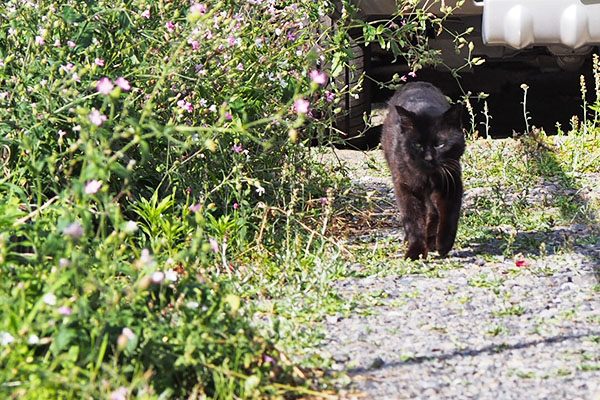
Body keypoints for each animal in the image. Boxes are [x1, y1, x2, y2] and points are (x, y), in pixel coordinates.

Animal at [382, 83, 466, 260]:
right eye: (418, 145)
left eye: (440, 145)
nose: (428, 158)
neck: (428, 177)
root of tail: (417, 83)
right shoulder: (405, 188)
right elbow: (413, 221)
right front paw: (415, 251)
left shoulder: (451, 183)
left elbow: (449, 215)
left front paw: (443, 245)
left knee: (433, 213)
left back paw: (432, 241)